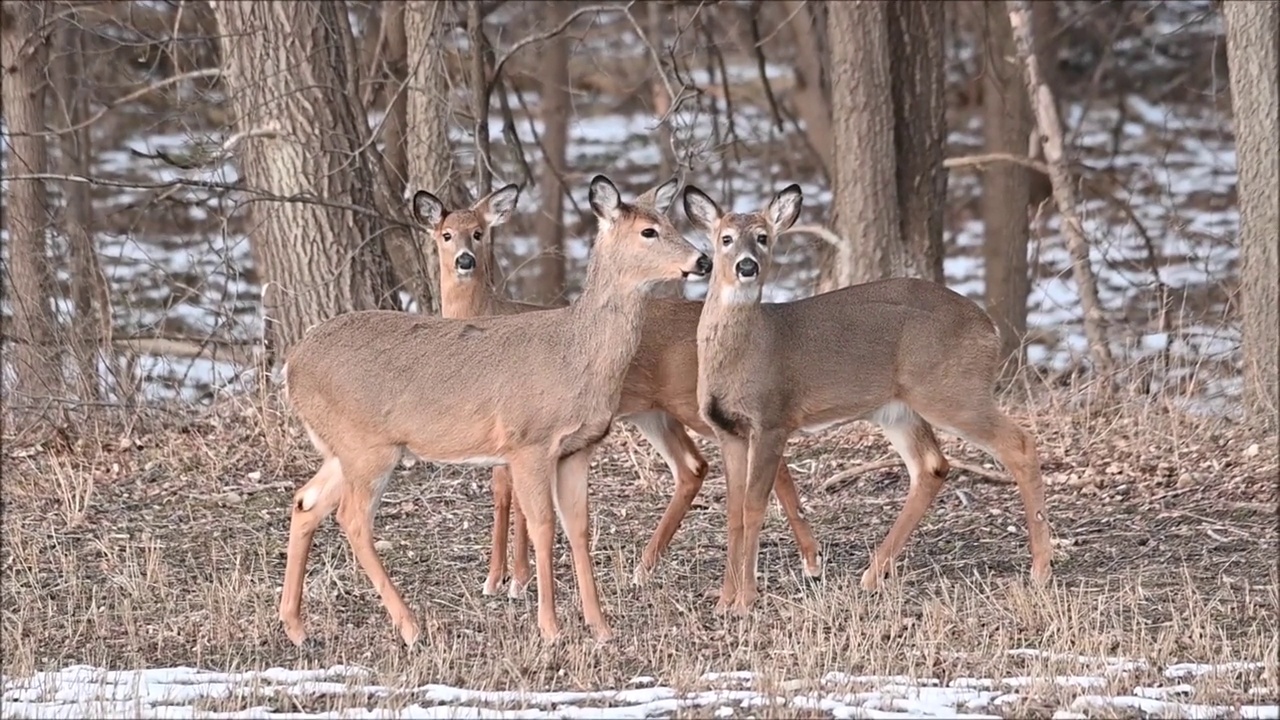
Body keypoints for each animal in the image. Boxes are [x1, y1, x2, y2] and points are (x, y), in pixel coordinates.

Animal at [277, 175, 711, 645]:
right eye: (649, 231)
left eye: (672, 223)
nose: (703, 260)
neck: (575, 353)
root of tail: (292, 363)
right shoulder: (529, 443)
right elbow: (543, 527)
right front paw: (549, 626)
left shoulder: (578, 448)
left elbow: (578, 526)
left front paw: (600, 626)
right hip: (367, 446)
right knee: (352, 518)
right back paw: (411, 626)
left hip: (345, 449)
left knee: (305, 502)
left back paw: (297, 627)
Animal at [409, 181, 824, 597]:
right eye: (447, 235)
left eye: (479, 233)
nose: (465, 261)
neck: (487, 315)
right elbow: (502, 491)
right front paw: (499, 577)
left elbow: (512, 494)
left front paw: (513, 579)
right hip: (652, 412)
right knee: (693, 467)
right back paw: (645, 567)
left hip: (695, 403)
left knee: (767, 459)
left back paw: (811, 561)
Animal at [686, 181, 1054, 614]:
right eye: (725, 238)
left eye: (762, 237)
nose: (747, 266)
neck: (749, 349)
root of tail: (990, 328)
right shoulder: (727, 429)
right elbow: (732, 511)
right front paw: (725, 600)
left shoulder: (774, 418)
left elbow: (753, 506)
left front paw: (744, 600)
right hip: (897, 409)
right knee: (932, 466)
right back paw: (873, 574)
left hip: (951, 390)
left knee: (1019, 443)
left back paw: (1041, 569)